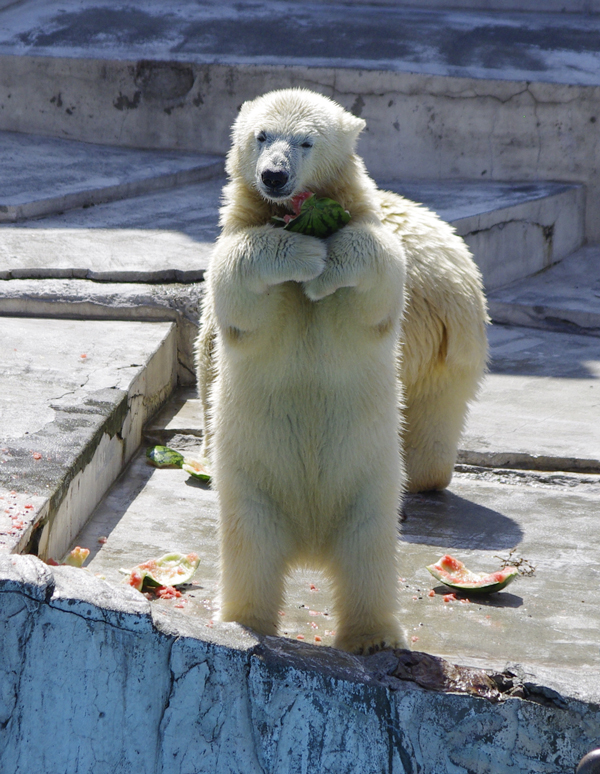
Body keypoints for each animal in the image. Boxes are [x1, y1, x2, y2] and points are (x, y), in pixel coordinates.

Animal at [197, 86, 488, 656]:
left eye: (306, 142)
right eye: (261, 135)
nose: (274, 176)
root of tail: (310, 543)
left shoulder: (374, 262)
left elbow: (376, 271)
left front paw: (328, 260)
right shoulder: (241, 246)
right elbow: (238, 284)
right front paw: (304, 253)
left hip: (370, 487)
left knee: (367, 559)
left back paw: (373, 637)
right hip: (251, 485)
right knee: (250, 551)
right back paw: (244, 621)